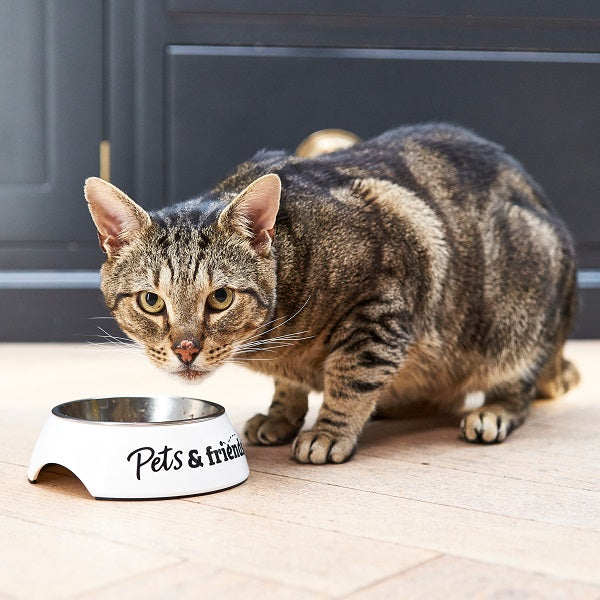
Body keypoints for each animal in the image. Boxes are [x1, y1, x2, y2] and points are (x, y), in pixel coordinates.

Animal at [82, 123, 580, 464]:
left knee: (517, 386)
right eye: (151, 301)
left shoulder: (382, 306)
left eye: (220, 298)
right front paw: (281, 416)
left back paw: (491, 412)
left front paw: (329, 431)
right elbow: (290, 385)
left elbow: (351, 377)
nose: (186, 349)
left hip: (523, 305)